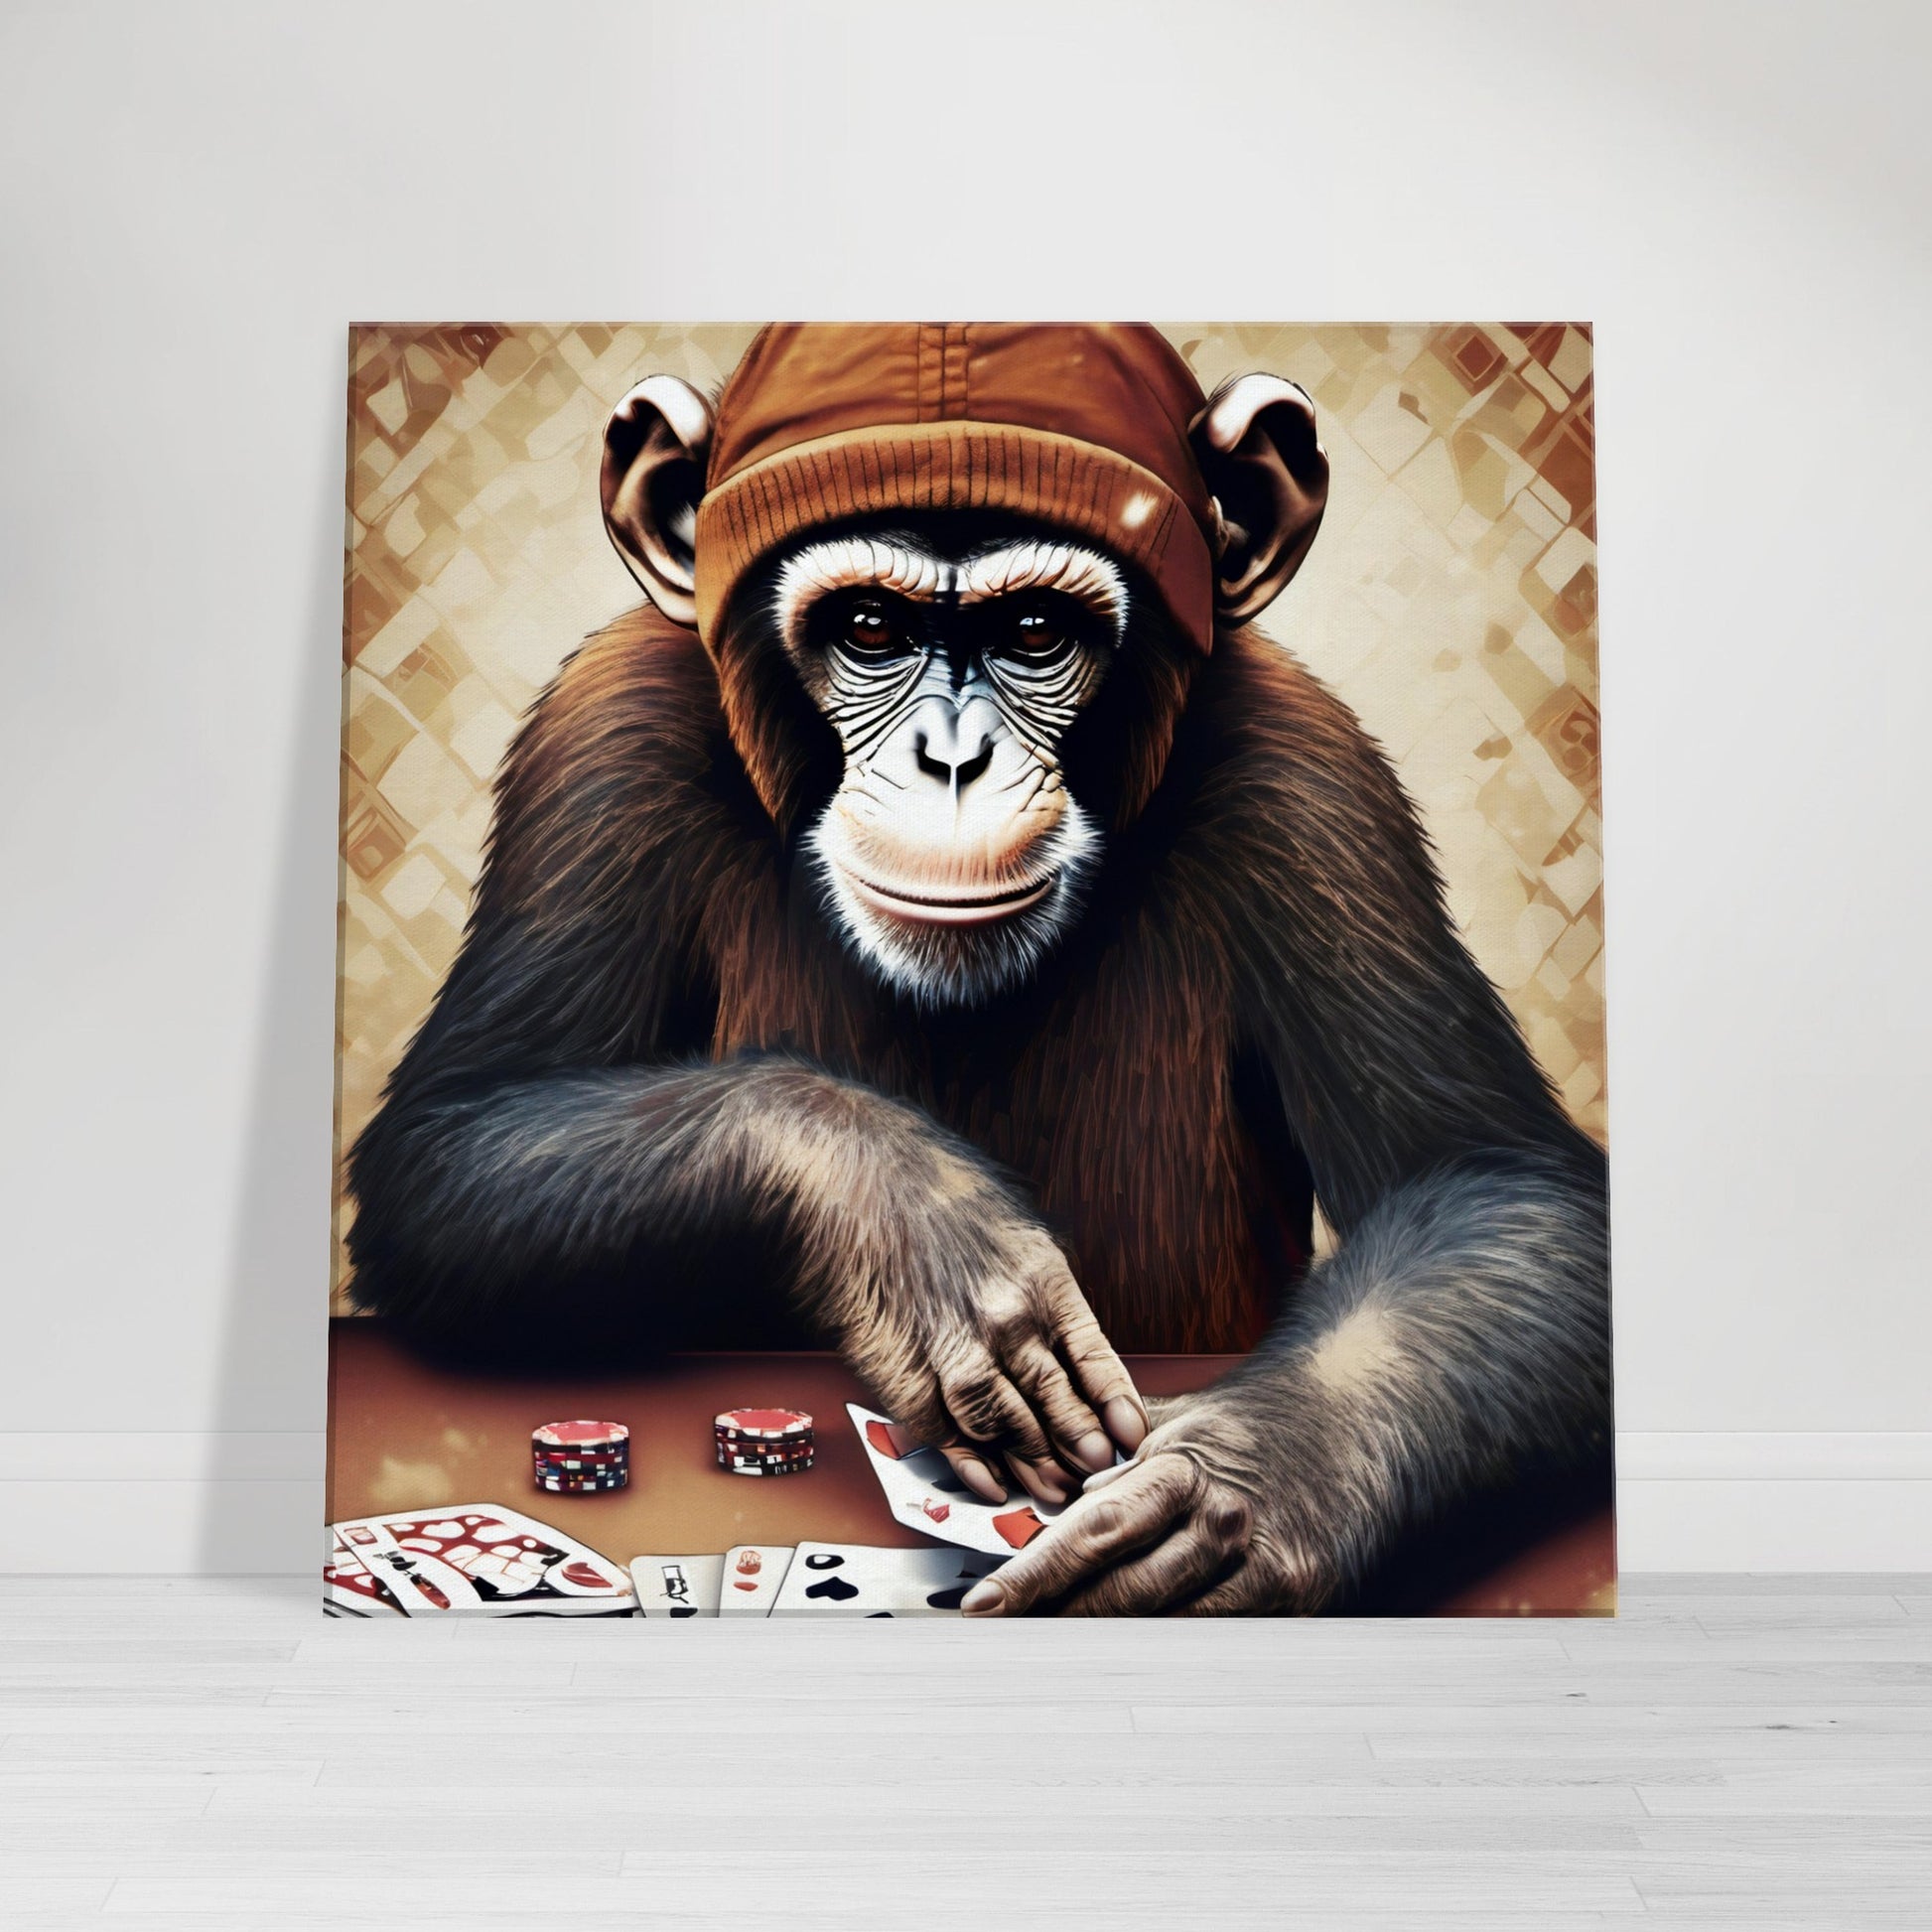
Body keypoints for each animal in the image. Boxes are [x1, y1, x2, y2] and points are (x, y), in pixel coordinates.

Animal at [347, 323, 1611, 1615]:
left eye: (1035, 633)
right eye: (868, 629)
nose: (951, 757)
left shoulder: (1307, 775)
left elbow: (1487, 1178)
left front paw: (1234, 1485)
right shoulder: (603, 734)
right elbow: (457, 1135)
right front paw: (921, 1228)